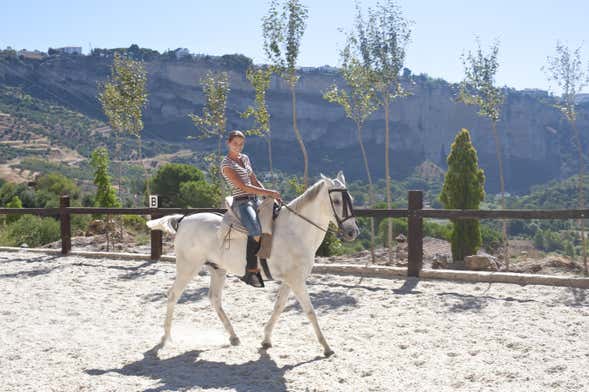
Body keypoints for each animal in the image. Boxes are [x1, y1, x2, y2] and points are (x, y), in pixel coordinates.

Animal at [147, 173, 358, 356]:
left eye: (351, 199)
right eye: (337, 201)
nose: (352, 232)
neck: (296, 231)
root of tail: (184, 220)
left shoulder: (289, 280)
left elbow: (279, 306)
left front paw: (266, 340)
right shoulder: (296, 281)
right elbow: (310, 311)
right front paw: (326, 347)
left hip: (217, 270)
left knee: (214, 299)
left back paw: (233, 337)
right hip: (187, 267)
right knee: (173, 295)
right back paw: (165, 338)